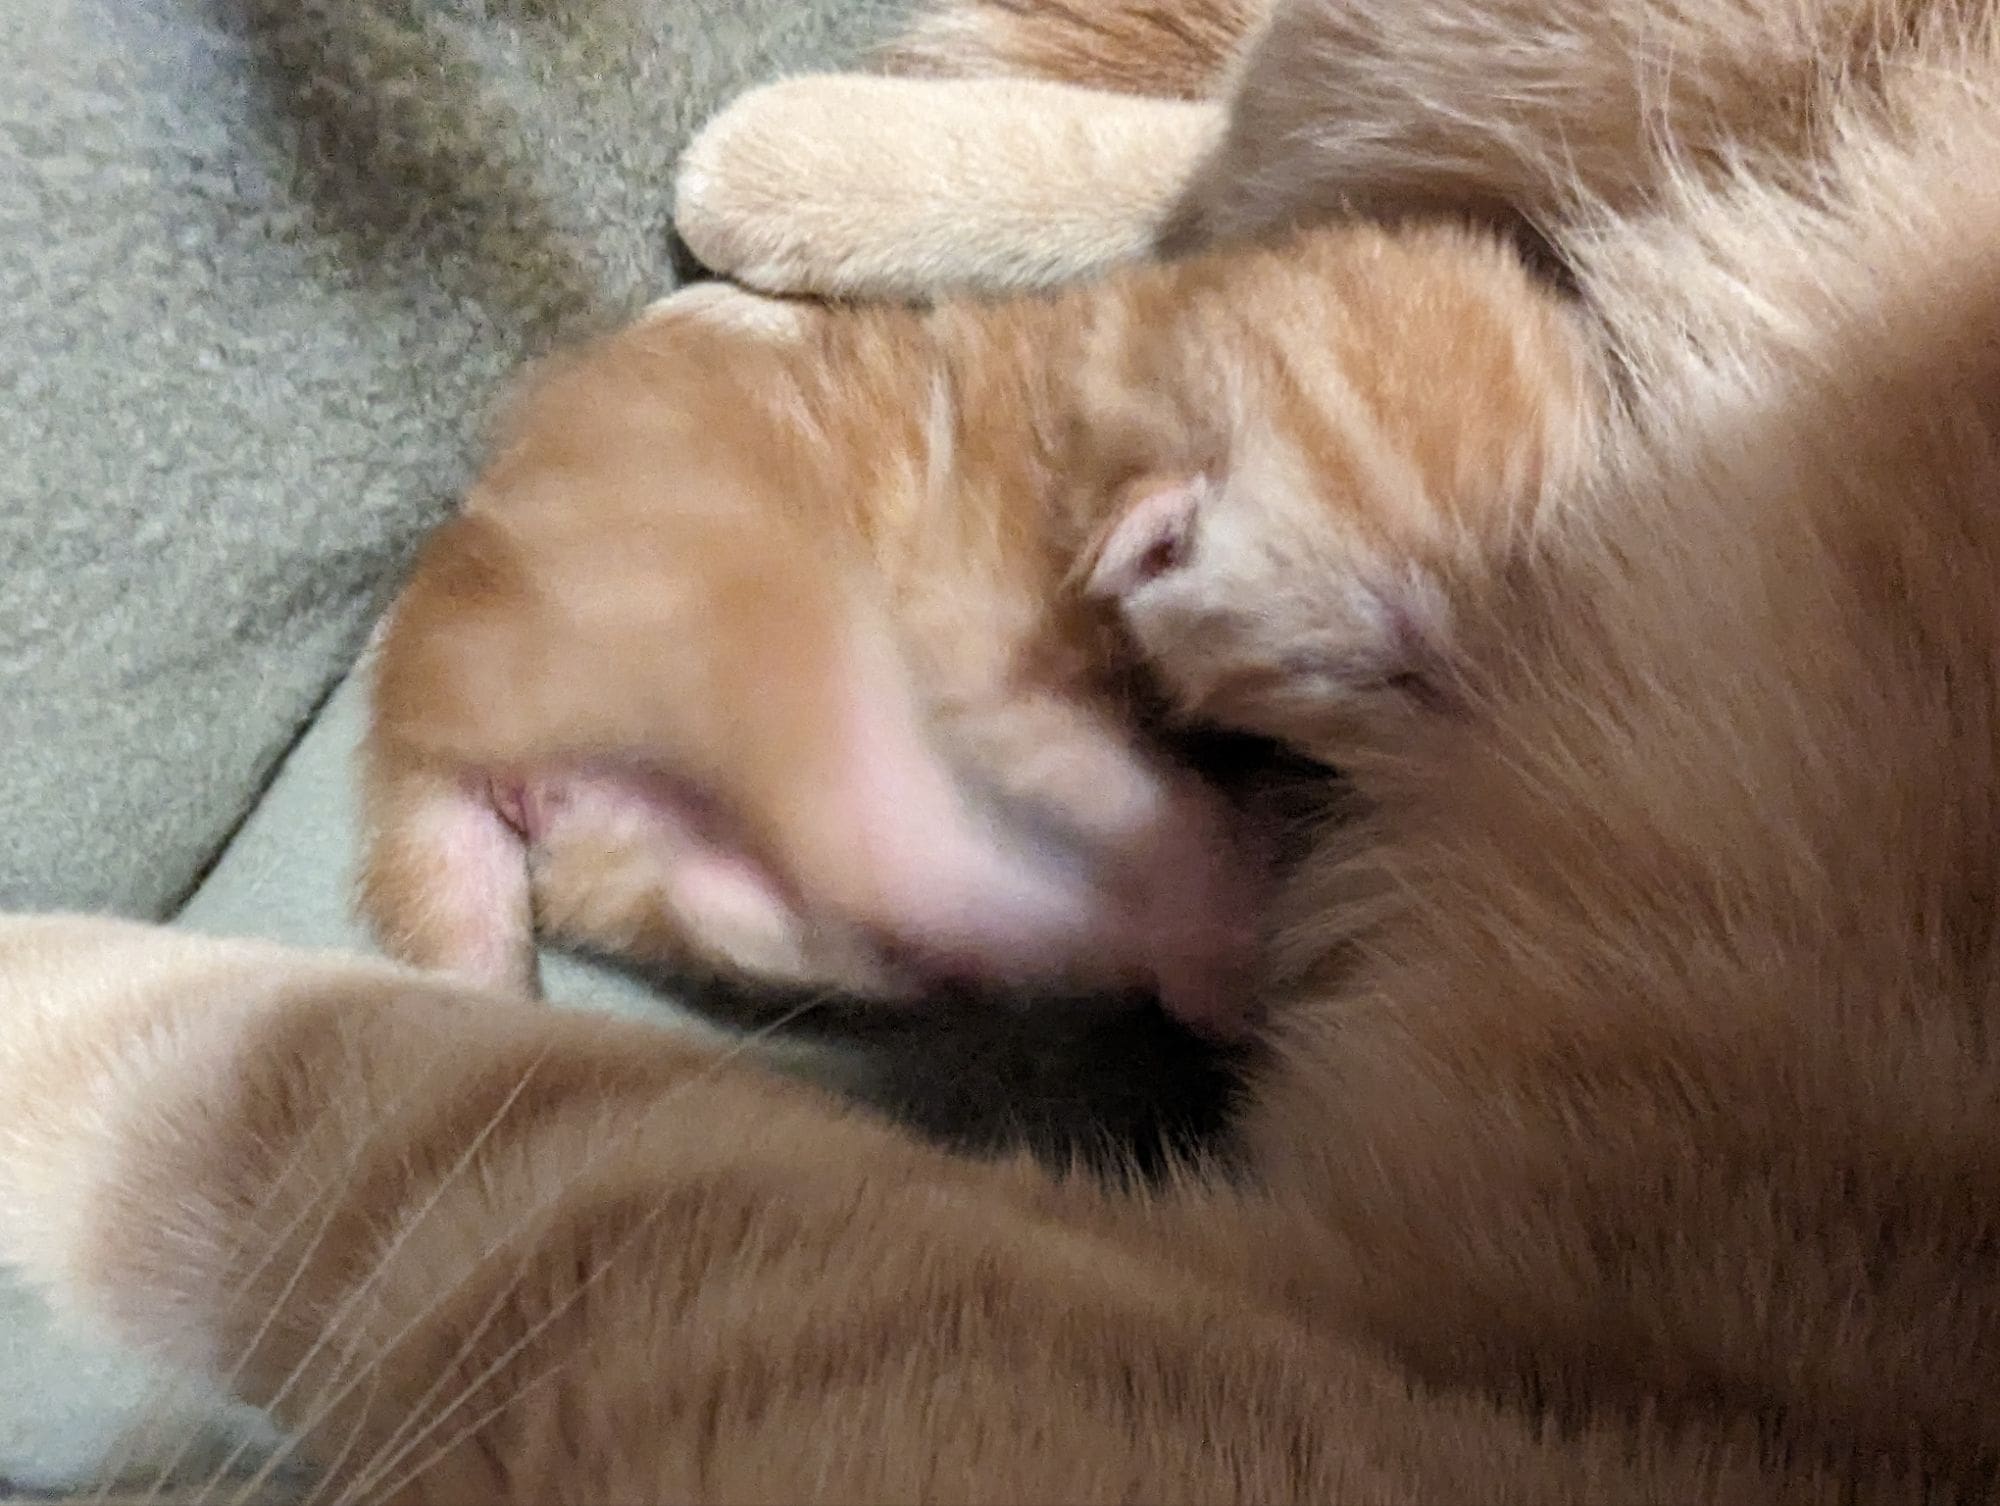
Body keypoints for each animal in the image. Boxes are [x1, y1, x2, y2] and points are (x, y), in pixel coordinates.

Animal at [357, 219, 1598, 1034]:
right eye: (1385, 675)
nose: (1509, 767)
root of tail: (412, 695)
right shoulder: (978, 652)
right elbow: (1147, 800)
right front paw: (1205, 883)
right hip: (740, 592)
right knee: (870, 830)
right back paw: (1195, 942)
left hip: (622, 844)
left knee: (754, 902)